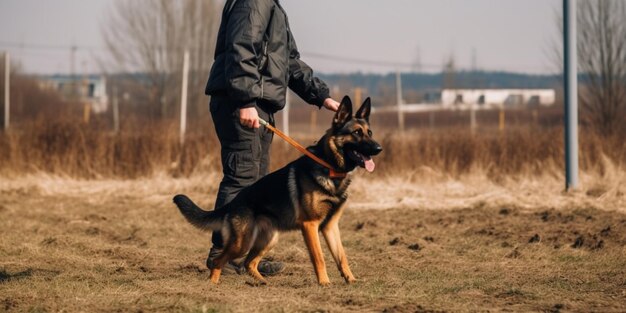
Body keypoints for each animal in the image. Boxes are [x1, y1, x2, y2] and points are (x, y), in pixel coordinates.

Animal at [173, 96, 382, 284]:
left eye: (370, 132)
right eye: (356, 132)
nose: (379, 148)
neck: (329, 167)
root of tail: (234, 202)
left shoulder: (330, 226)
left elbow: (341, 256)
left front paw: (351, 279)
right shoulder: (310, 225)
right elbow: (319, 258)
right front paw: (324, 283)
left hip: (269, 240)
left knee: (249, 263)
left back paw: (261, 281)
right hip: (242, 243)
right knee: (219, 261)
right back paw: (213, 284)